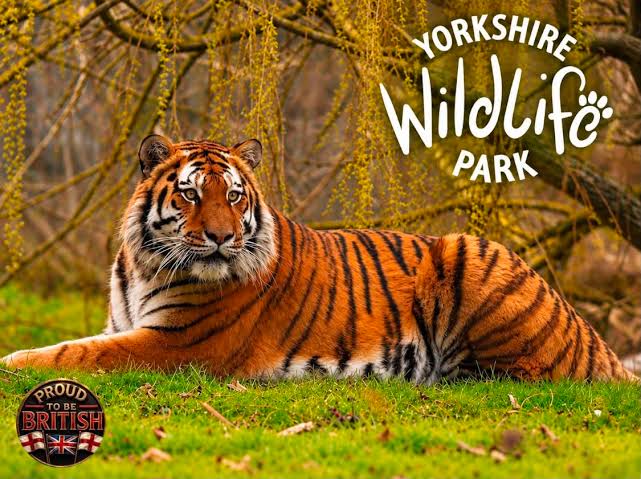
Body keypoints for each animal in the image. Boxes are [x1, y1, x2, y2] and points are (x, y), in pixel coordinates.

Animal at [2, 134, 637, 383]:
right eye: (190, 194)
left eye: (234, 196)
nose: (220, 238)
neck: (143, 264)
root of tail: (593, 336)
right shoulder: (130, 326)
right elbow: (81, 344)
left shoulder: (177, 343)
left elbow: (76, 352)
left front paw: (13, 361)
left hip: (468, 251)